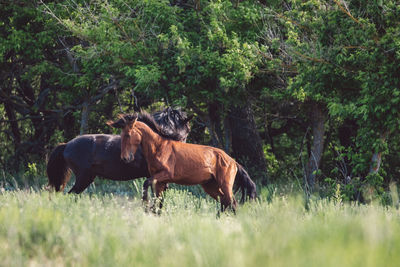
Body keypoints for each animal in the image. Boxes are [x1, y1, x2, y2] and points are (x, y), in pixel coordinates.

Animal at [108, 112, 256, 211]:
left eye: (128, 135)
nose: (125, 158)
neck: (160, 147)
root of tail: (232, 161)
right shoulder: (160, 181)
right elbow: (158, 200)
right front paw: (151, 211)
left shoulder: (165, 175)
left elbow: (146, 185)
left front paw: (146, 206)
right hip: (210, 186)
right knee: (225, 203)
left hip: (225, 184)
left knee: (232, 203)